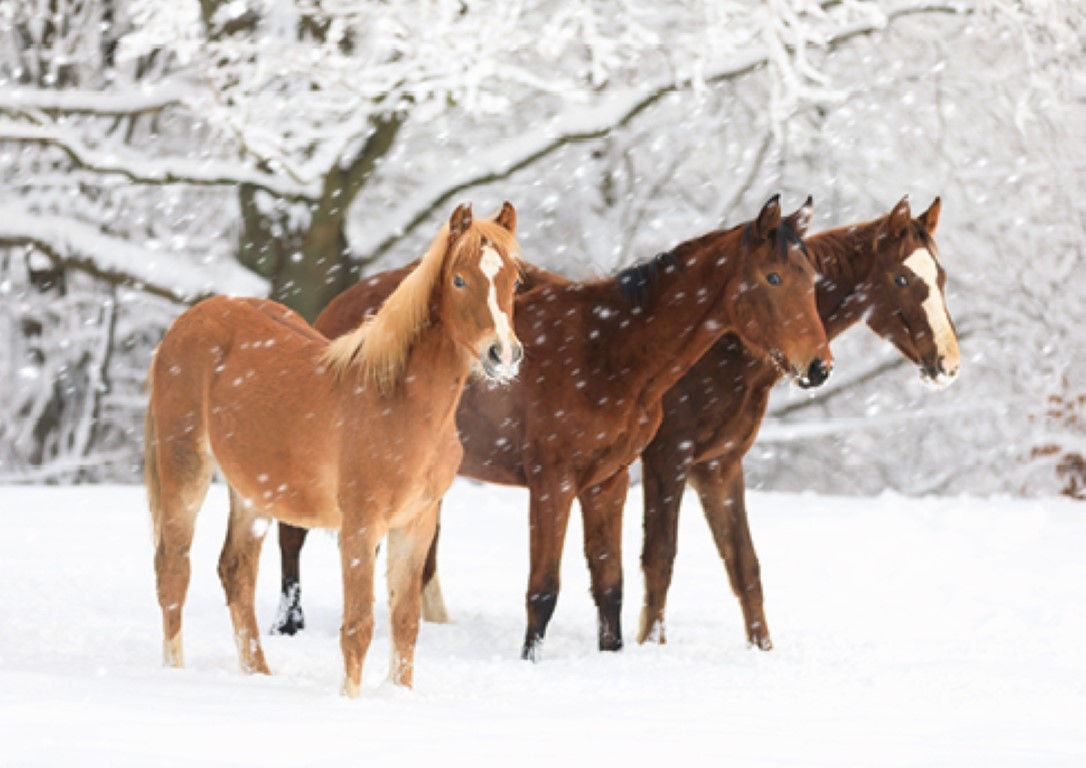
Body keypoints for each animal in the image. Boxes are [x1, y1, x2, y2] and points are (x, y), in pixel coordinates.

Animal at [144, 202, 523, 696]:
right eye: (459, 280)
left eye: (515, 280)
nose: (504, 355)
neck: (400, 402)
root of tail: (185, 323)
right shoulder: (361, 526)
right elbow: (358, 626)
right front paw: (350, 700)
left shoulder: (416, 524)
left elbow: (405, 623)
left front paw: (399, 695)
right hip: (185, 467)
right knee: (173, 569)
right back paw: (175, 672)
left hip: (251, 492)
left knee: (236, 572)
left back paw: (258, 674)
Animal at [274, 195, 834, 659]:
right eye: (773, 278)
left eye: (812, 279)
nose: (819, 365)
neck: (609, 349)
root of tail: (339, 308)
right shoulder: (553, 482)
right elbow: (544, 588)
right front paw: (531, 660)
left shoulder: (608, 482)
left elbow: (610, 583)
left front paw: (612, 655)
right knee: (292, 534)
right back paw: (288, 624)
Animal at [637, 196, 960, 648]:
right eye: (901, 278)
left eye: (941, 276)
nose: (949, 363)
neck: (721, 352)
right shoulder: (668, 459)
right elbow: (660, 560)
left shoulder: (718, 465)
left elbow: (745, 566)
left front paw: (763, 652)